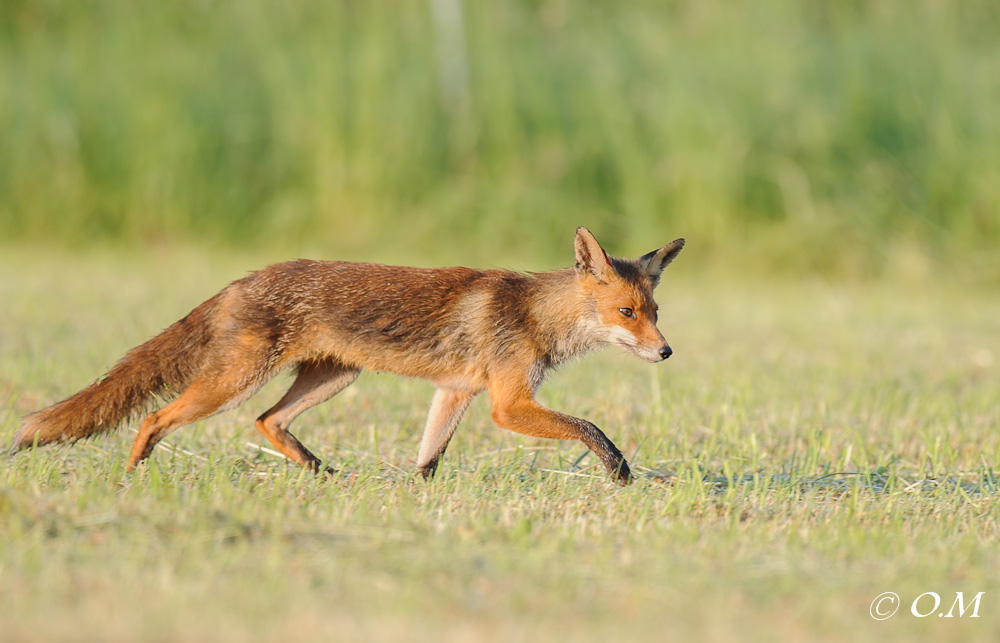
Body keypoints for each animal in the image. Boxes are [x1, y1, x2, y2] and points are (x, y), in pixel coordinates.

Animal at [11, 227, 684, 485]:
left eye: (655, 311)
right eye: (627, 313)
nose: (666, 351)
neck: (536, 315)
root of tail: (243, 279)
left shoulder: (456, 391)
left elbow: (428, 459)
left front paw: (416, 497)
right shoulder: (508, 404)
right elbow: (590, 428)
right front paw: (620, 471)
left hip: (332, 378)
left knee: (268, 422)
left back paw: (319, 474)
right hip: (233, 381)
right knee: (154, 417)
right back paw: (132, 477)